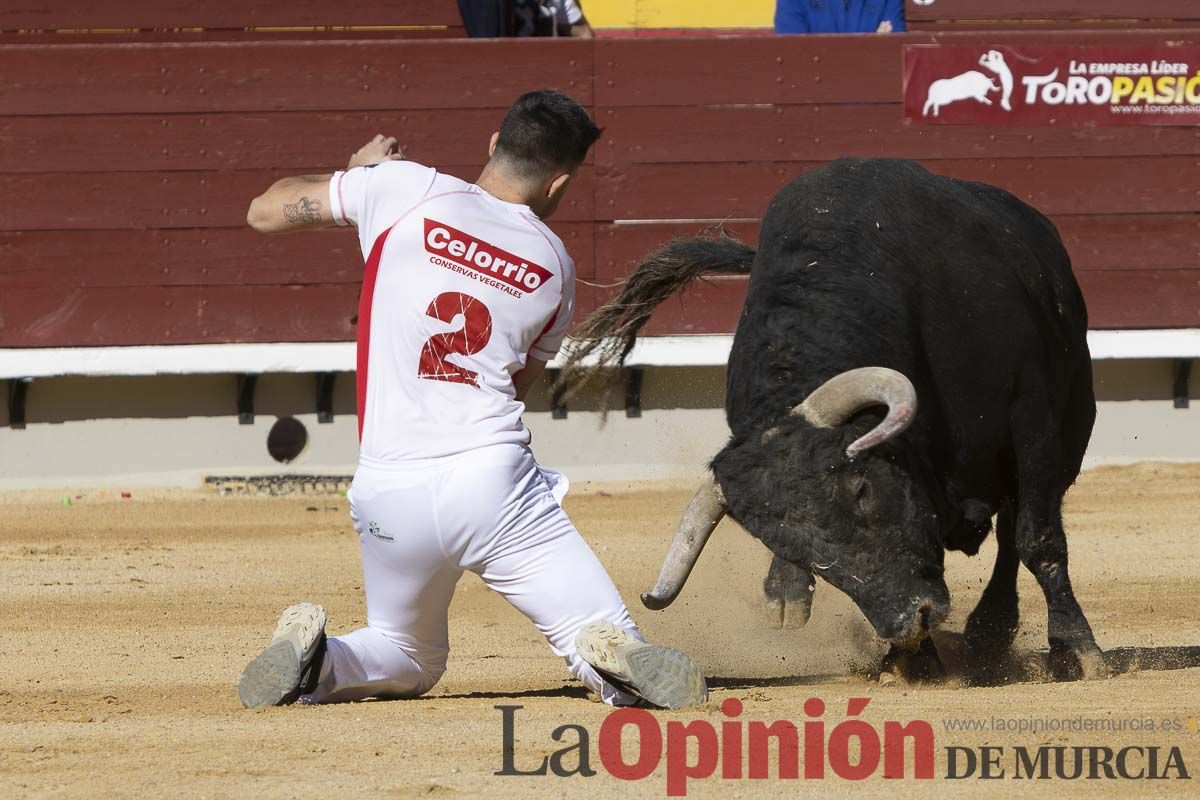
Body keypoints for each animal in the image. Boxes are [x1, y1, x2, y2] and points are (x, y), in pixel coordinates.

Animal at [561, 158, 1104, 681]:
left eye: (861, 489)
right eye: (793, 548)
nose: (912, 621)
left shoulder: (1032, 419)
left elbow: (1037, 539)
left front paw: (1076, 649)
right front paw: (911, 662)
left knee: (1016, 529)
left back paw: (991, 632)